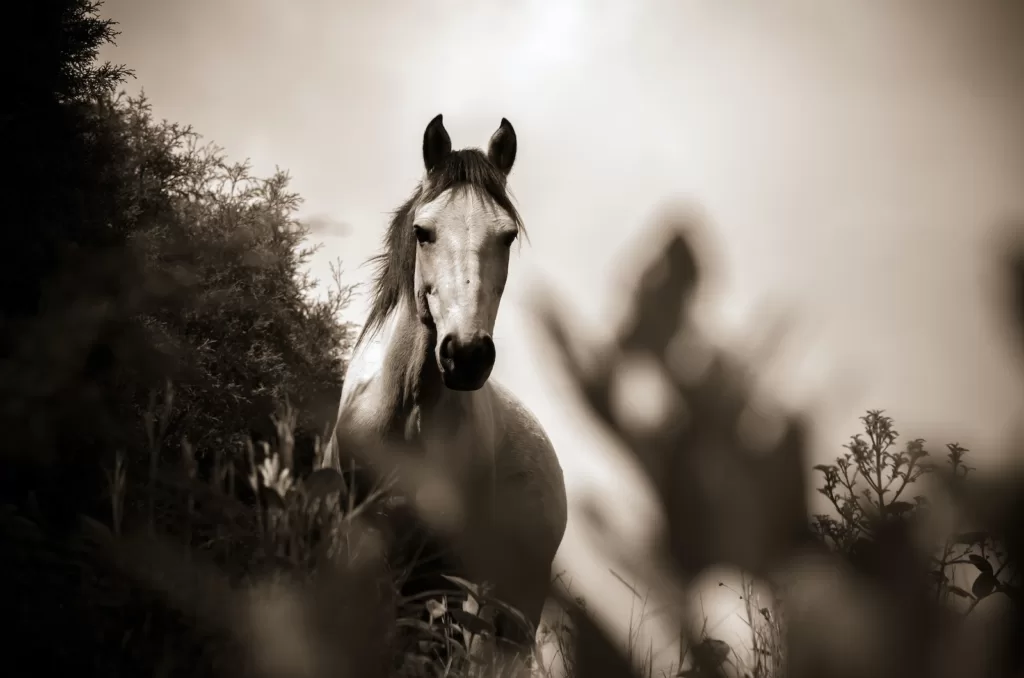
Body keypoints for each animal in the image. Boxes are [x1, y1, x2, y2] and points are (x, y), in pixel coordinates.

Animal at [321, 114, 569, 659]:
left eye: (507, 236)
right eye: (423, 232)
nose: (467, 355)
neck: (406, 414)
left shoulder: (446, 572)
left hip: (511, 606)